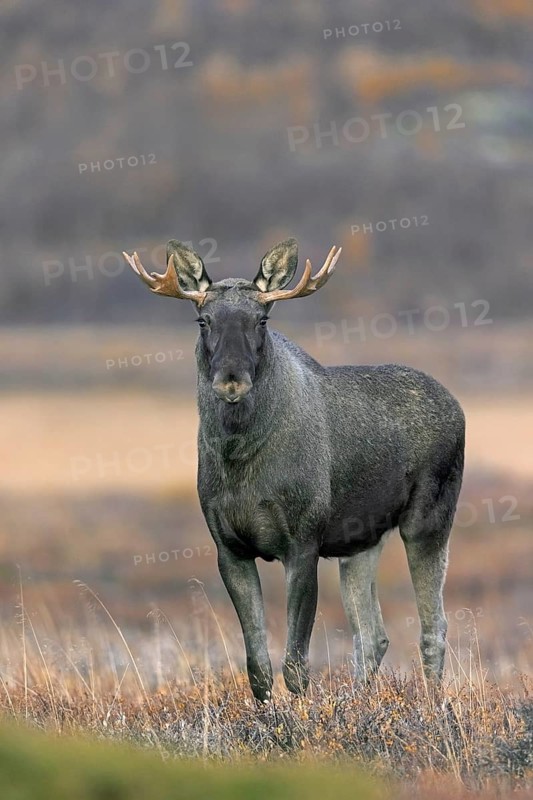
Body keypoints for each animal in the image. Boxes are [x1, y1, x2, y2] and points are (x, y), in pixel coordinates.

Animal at [123, 238, 465, 702]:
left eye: (262, 319)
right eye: (203, 320)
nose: (231, 379)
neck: (241, 461)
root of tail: (458, 407)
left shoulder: (303, 543)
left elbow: (296, 667)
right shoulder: (229, 548)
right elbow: (258, 669)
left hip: (428, 521)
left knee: (434, 626)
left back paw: (431, 703)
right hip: (361, 543)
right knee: (372, 636)